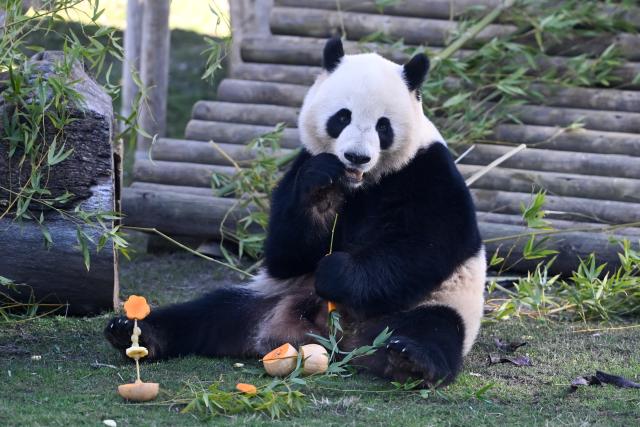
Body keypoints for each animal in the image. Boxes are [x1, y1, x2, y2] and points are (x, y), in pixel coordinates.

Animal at [105, 37, 486, 386]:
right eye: (342, 117)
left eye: (383, 125)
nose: (357, 156)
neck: (361, 184)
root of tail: (338, 341)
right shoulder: (299, 167)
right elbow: (285, 250)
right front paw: (321, 191)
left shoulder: (428, 172)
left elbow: (424, 246)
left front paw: (336, 272)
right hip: (270, 296)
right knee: (209, 313)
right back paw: (133, 332)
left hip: (430, 304)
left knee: (434, 329)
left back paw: (410, 361)